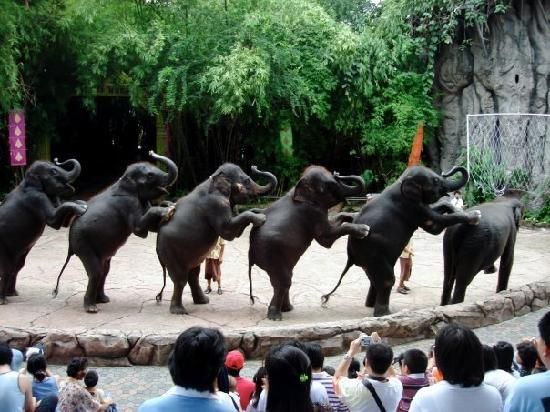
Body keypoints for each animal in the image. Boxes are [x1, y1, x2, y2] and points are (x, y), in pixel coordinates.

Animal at [0, 158, 86, 303]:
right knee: (7, 268)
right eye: (53, 171)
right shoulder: (36, 198)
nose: (58, 160)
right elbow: (53, 220)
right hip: (3, 246)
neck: (27, 181)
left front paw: (82, 204)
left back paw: (13, 294)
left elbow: (62, 221)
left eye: (54, 166)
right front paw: (83, 209)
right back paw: (3, 301)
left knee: (16, 266)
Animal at [53, 151, 178, 313]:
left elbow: (151, 227)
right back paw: (92, 308)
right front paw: (167, 209)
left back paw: (103, 300)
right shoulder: (128, 204)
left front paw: (169, 207)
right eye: (150, 175)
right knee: (96, 271)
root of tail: (70, 243)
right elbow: (139, 229)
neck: (124, 179)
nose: (151, 152)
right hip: (82, 243)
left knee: (104, 270)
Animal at [153, 163, 277, 315]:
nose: (254, 166)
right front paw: (261, 218)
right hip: (169, 250)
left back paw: (203, 301)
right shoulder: (217, 204)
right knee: (180, 279)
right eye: (247, 180)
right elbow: (227, 231)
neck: (215, 176)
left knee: (193, 275)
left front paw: (257, 212)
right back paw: (180, 311)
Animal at [248, 165, 370, 321]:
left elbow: (334, 222)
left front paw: (353, 216)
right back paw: (276, 317)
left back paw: (287, 309)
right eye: (330, 186)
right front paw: (364, 230)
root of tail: (251, 254)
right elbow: (326, 239)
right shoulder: (311, 212)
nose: (338, 173)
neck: (298, 186)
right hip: (270, 256)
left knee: (284, 280)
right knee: (283, 282)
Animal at [322, 165, 482, 317]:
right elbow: (435, 225)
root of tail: (350, 255)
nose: (446, 172)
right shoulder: (411, 206)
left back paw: (371, 306)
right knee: (387, 279)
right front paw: (475, 216)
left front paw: (455, 209)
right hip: (372, 253)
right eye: (435, 180)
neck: (402, 180)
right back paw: (386, 314)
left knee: (375, 279)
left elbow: (435, 222)